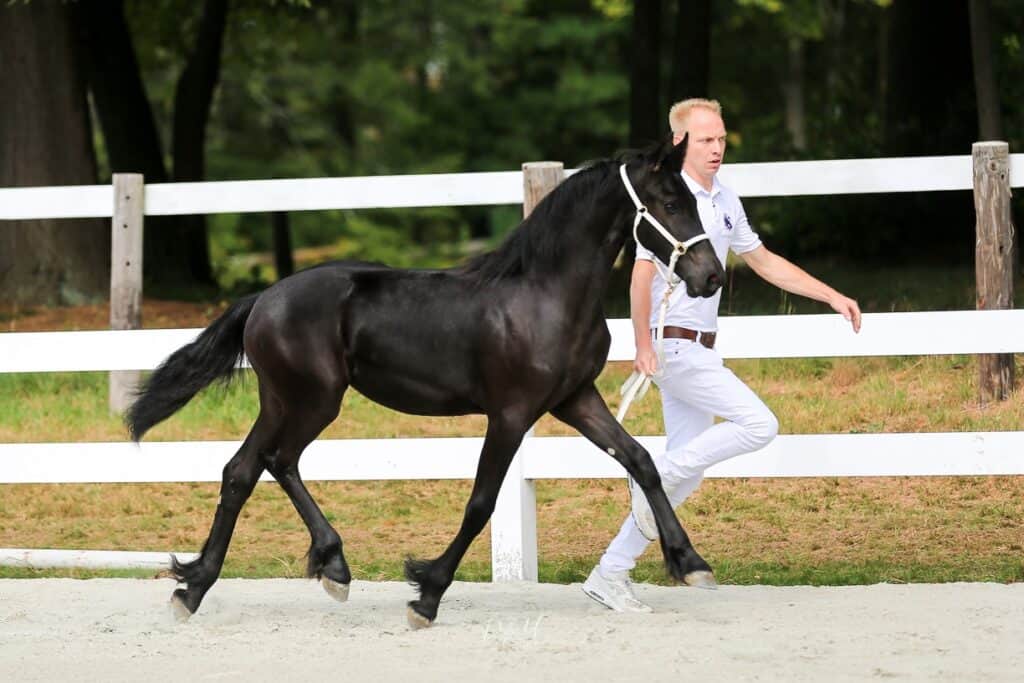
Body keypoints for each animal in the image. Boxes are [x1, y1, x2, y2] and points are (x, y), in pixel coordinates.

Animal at [127, 134, 726, 628]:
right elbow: (482, 502)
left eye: (695, 200)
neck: (545, 295)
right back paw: (314, 569)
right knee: (272, 462)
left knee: (245, 470)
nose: (711, 276)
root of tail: (262, 300)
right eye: (671, 203)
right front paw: (427, 595)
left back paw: (206, 585)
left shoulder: (575, 400)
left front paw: (691, 562)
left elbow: (641, 461)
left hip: (282, 400)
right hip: (313, 400)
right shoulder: (511, 414)